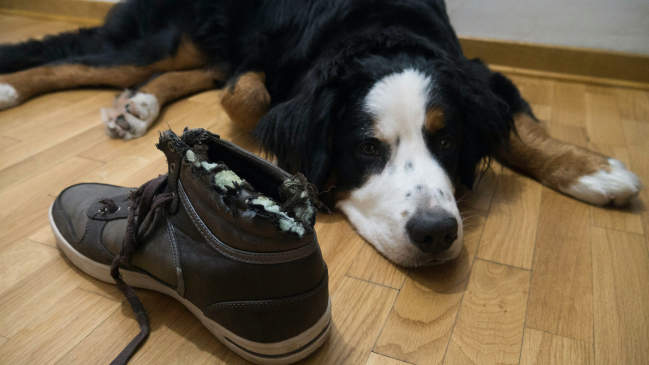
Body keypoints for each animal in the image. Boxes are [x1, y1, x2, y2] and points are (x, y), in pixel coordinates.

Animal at [0, 0, 636, 268]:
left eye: (447, 140)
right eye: (367, 147)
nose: (435, 233)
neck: (379, 28)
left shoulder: (479, 72)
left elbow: (520, 126)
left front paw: (593, 171)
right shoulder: (263, 64)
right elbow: (248, 95)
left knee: (183, 70)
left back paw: (137, 104)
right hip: (156, 39)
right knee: (70, 59)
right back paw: (13, 87)